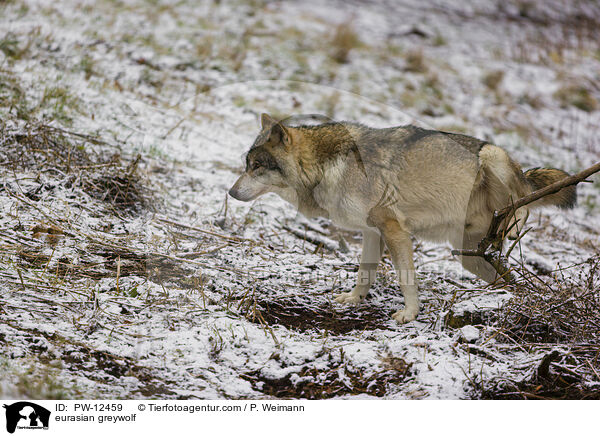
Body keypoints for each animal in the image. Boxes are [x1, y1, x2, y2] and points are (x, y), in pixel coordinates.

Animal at [229, 113, 576, 324]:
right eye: (247, 165)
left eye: (257, 167)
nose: (231, 192)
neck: (329, 166)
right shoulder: (371, 232)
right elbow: (365, 273)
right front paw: (353, 300)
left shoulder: (394, 229)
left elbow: (406, 278)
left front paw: (409, 314)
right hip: (467, 256)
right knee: (508, 279)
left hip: (492, 158)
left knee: (519, 207)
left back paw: (510, 220)